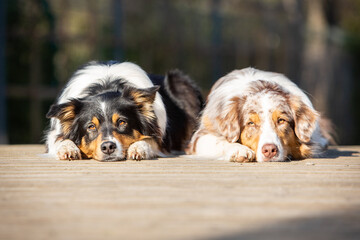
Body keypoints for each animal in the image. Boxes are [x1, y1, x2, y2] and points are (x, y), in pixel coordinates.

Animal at [45, 61, 202, 161]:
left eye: (122, 122)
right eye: (91, 127)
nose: (108, 147)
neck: (106, 86)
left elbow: (149, 139)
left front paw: (139, 147)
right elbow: (60, 140)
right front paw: (67, 148)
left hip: (179, 81)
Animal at [187, 66, 334, 162]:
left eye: (281, 120)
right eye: (251, 123)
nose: (269, 150)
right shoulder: (200, 136)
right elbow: (219, 141)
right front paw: (237, 149)